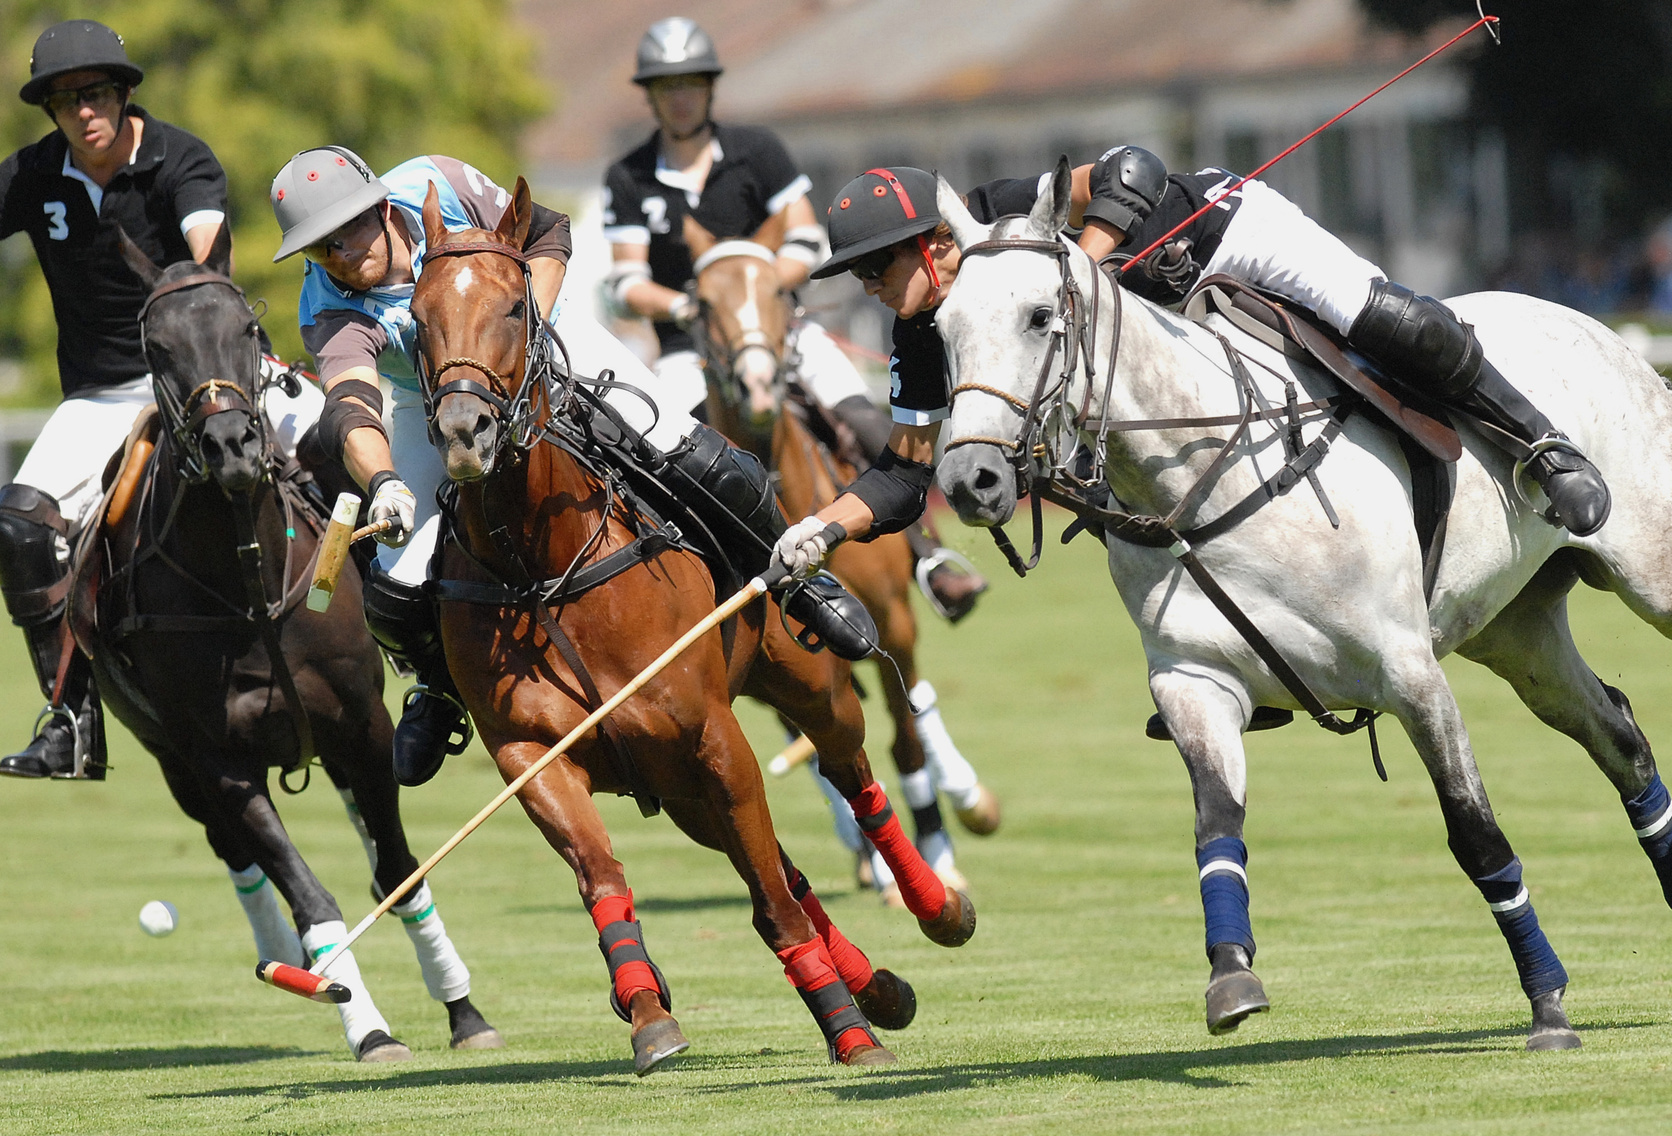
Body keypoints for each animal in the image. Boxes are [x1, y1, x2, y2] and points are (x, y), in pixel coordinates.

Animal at [81, 225, 494, 1064]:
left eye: (247, 328)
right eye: (154, 345)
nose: (233, 445)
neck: (249, 589)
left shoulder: (359, 726)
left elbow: (399, 870)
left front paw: (463, 1010)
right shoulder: (218, 761)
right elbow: (307, 893)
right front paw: (362, 1020)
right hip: (169, 760)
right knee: (235, 855)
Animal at [409, 179, 976, 1077]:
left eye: (511, 307)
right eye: (416, 315)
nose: (466, 434)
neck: (543, 563)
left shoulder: (712, 735)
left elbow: (775, 904)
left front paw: (851, 1035)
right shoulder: (532, 756)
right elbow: (605, 874)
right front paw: (647, 1014)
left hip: (804, 690)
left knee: (858, 775)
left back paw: (936, 909)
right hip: (677, 788)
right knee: (784, 867)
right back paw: (880, 986)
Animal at [929, 159, 1672, 1050]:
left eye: (1040, 318)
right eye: (941, 328)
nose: (969, 481)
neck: (1208, 471)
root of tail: (1607, 331)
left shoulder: (1411, 675)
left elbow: (1475, 833)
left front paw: (1548, 1005)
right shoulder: (1194, 682)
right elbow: (1217, 825)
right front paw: (1231, 980)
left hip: (1650, 570)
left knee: (1410, 323)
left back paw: (1566, 470)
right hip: (1518, 633)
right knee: (1620, 736)